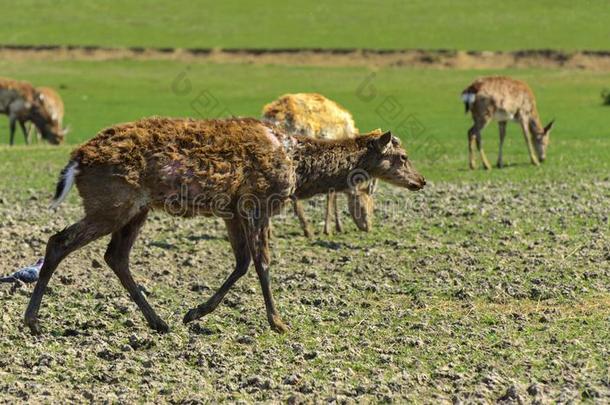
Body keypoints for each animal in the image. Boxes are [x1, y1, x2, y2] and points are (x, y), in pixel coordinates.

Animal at [22, 116, 422, 334]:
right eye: (402, 156)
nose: (421, 181)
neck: (297, 166)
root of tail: (75, 161)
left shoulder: (232, 208)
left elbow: (242, 262)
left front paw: (194, 312)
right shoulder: (258, 200)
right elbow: (262, 262)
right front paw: (278, 322)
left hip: (135, 208)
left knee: (115, 256)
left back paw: (159, 321)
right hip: (112, 202)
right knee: (60, 241)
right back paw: (33, 321)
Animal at [258, 92, 372, 237]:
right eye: (364, 206)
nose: (368, 227)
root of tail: (274, 119)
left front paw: (337, 226)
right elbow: (332, 193)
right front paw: (330, 228)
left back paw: (269, 231)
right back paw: (307, 229)